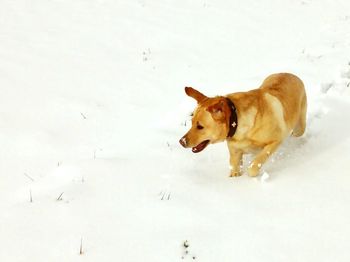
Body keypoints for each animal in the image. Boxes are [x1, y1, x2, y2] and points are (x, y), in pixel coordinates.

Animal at [179, 72, 308, 177]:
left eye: (200, 126)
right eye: (191, 123)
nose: (181, 142)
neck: (237, 122)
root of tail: (291, 74)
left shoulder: (276, 141)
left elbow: (255, 165)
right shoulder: (235, 154)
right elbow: (235, 170)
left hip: (299, 128)